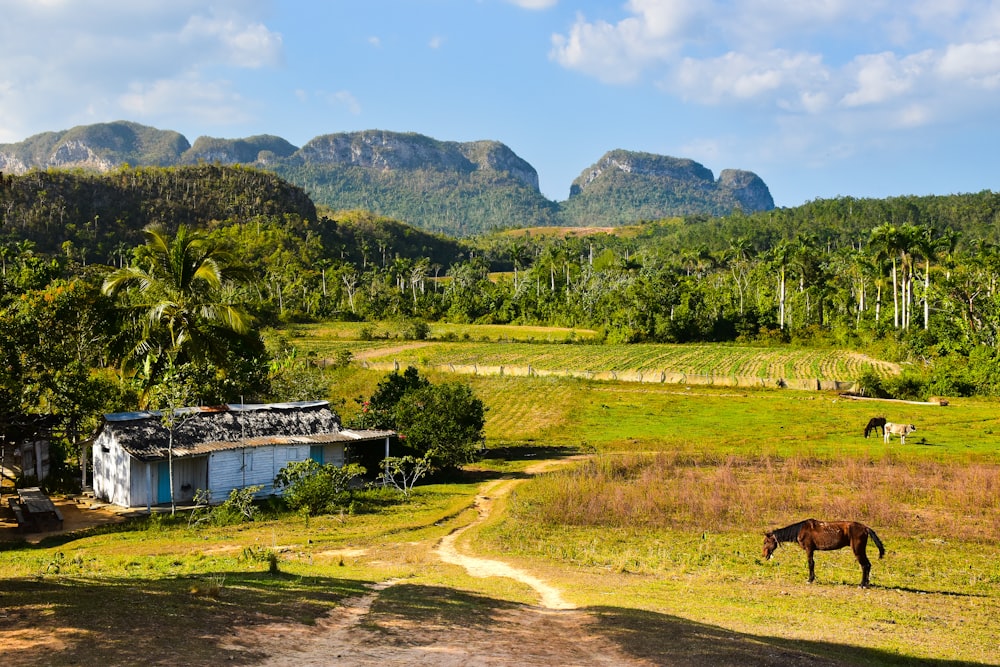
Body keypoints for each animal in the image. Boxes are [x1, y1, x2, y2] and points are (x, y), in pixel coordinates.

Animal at [760, 520, 888, 588]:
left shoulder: (809, 549)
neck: (800, 530)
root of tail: (866, 528)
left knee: (865, 565)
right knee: (868, 565)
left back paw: (862, 585)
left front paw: (810, 579)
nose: (764, 554)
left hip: (858, 550)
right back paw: (866, 584)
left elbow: (811, 564)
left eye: (766, 541)